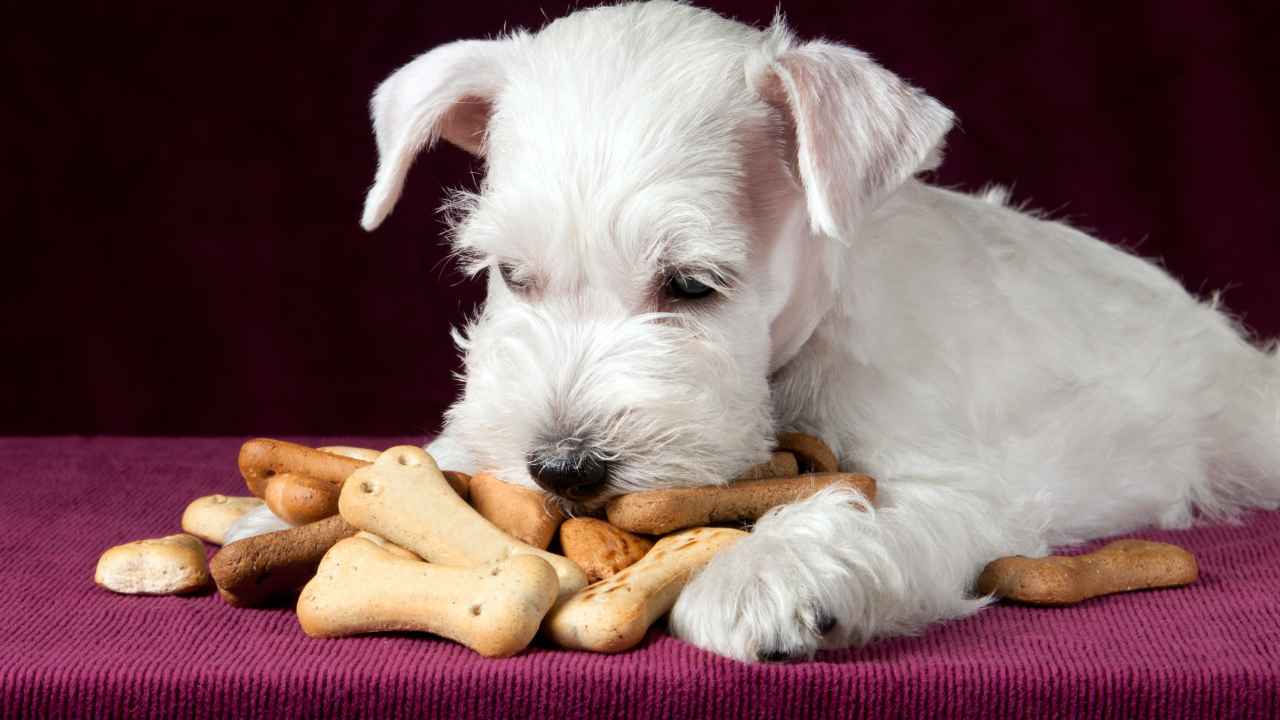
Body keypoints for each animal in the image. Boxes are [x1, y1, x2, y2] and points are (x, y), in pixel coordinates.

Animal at [227, 1, 1280, 661]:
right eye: (511, 276)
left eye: (692, 285)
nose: (563, 469)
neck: (795, 350)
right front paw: (287, 515)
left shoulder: (952, 483)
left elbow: (862, 507)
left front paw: (766, 574)